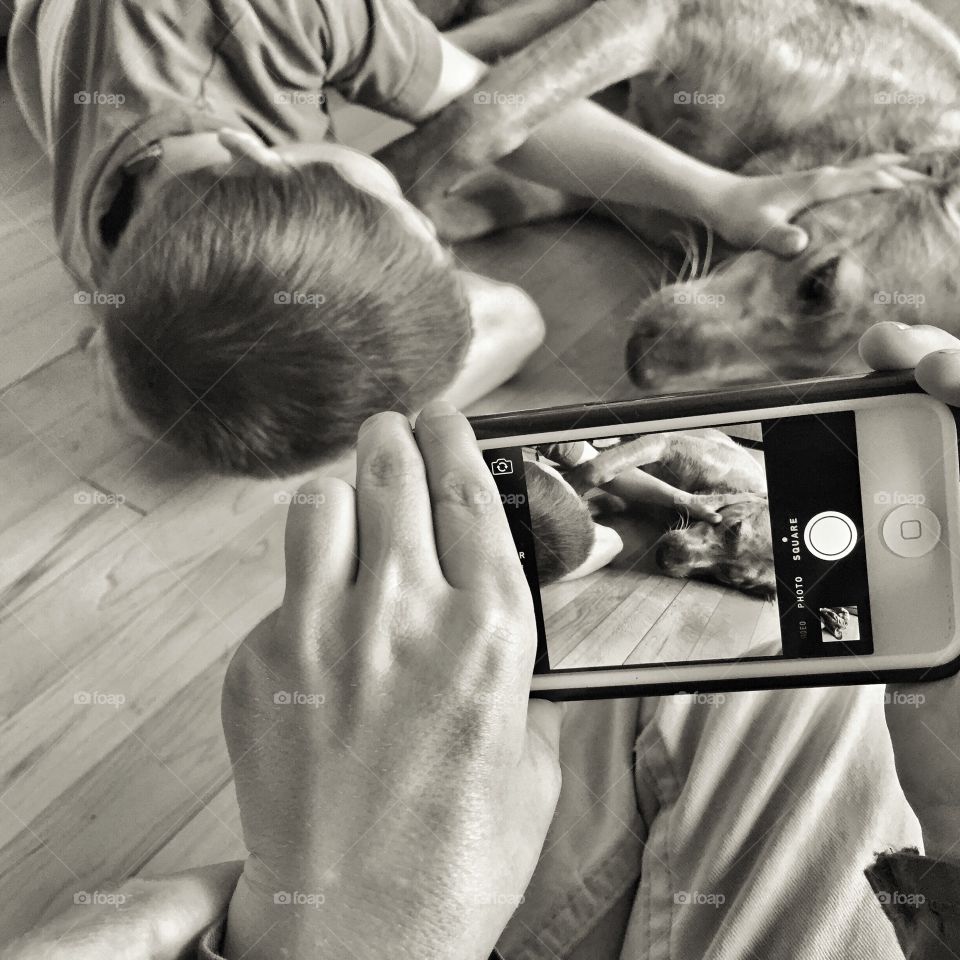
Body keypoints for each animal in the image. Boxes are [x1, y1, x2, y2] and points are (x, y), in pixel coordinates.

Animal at [396, 0, 960, 392]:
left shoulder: (606, 181)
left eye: (800, 374)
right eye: (818, 286)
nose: (641, 368)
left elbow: (471, 191)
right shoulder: (655, 18)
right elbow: (483, 120)